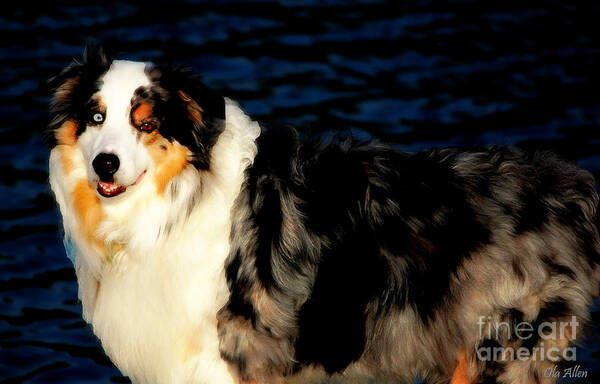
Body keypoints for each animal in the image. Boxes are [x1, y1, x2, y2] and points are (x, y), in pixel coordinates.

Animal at [48, 45, 600, 384]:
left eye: (146, 124)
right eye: (95, 117)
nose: (105, 163)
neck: (177, 203)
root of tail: (568, 184)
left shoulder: (231, 354)